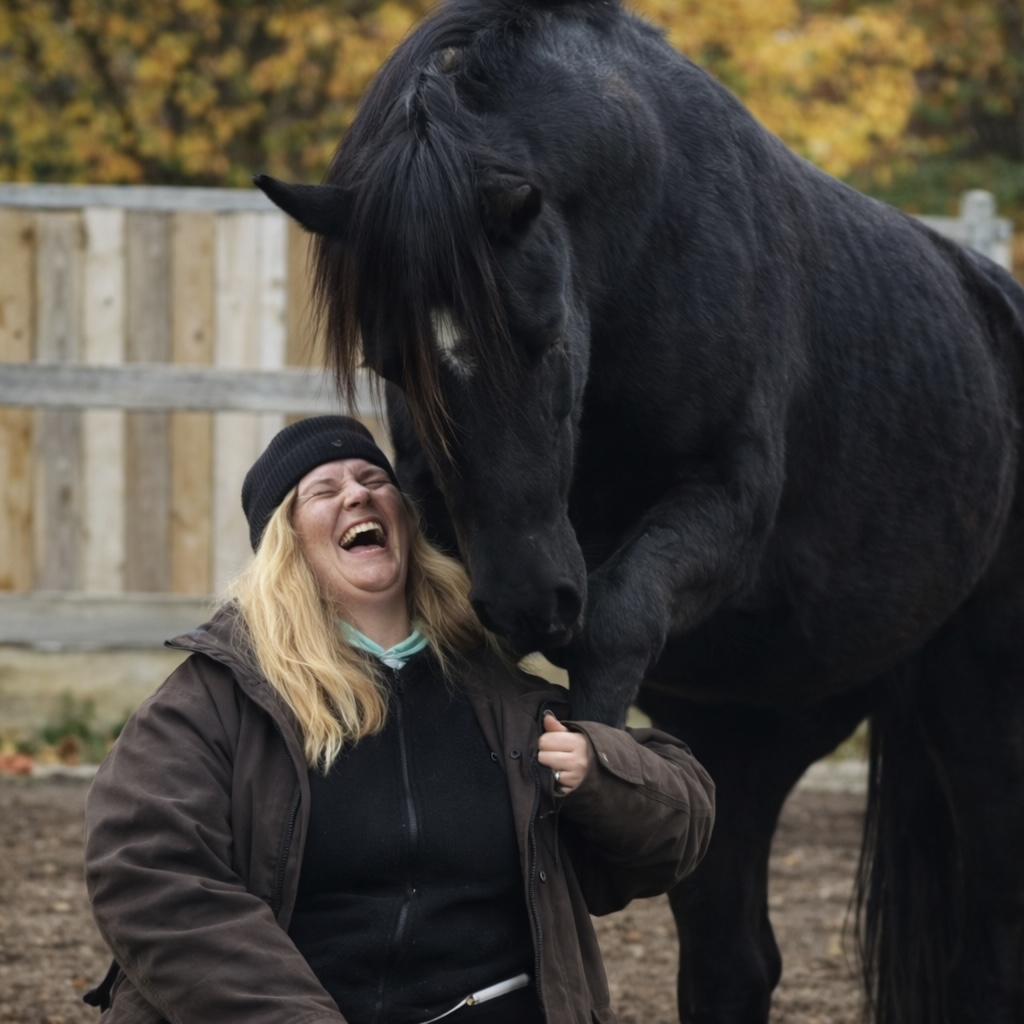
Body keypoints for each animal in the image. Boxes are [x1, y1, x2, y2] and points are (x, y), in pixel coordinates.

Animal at [254, 0, 1024, 1020]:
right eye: (393, 364)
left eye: (541, 340)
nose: (532, 601)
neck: (651, 245)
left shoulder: (723, 509)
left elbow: (614, 620)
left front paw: (584, 775)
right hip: (754, 727)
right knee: (735, 962)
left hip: (977, 701)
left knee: (990, 941)